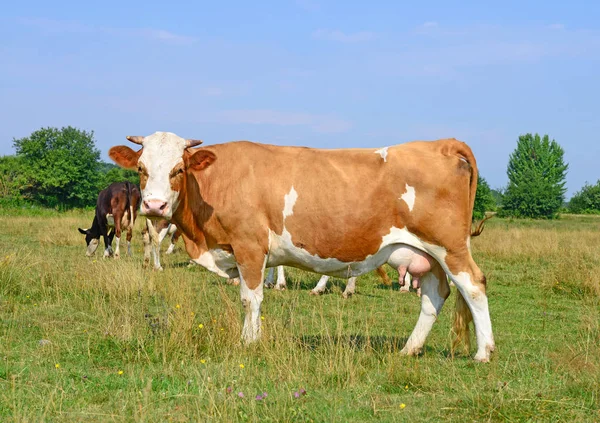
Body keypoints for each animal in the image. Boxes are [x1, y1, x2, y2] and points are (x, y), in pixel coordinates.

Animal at [110, 133, 494, 364]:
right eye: (141, 168)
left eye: (178, 169)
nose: (154, 206)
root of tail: (441, 142)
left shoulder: (249, 246)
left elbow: (251, 298)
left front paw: (249, 342)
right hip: (425, 254)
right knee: (434, 294)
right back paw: (409, 349)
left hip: (449, 246)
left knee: (473, 286)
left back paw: (483, 352)